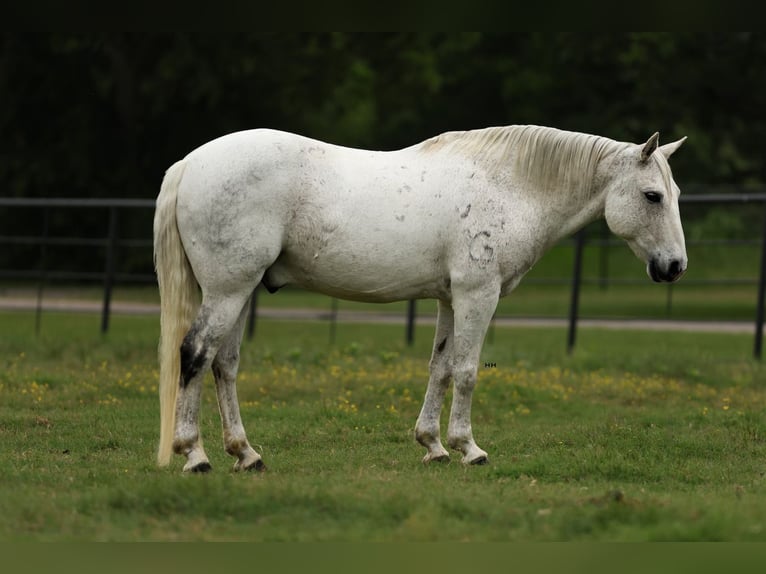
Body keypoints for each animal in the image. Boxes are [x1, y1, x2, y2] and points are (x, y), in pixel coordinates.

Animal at [153, 125, 688, 472]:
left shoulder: (450, 300)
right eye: (653, 196)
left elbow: (441, 368)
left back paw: (246, 454)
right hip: (227, 290)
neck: (508, 185)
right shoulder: (478, 295)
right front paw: (469, 448)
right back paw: (194, 455)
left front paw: (432, 445)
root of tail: (190, 163)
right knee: (195, 354)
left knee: (224, 365)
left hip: (239, 292)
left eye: (675, 194)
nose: (675, 267)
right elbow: (467, 372)